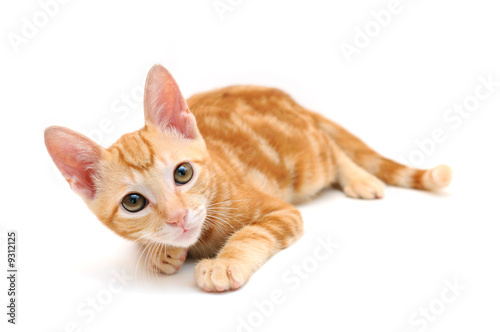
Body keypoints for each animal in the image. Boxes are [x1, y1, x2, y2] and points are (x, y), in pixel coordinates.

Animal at [45, 65, 454, 294]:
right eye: (134, 202)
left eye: (182, 173)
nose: (178, 218)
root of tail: (285, 97)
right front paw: (161, 253)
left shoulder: (281, 212)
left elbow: (251, 234)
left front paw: (224, 264)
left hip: (308, 162)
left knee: (333, 150)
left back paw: (359, 179)